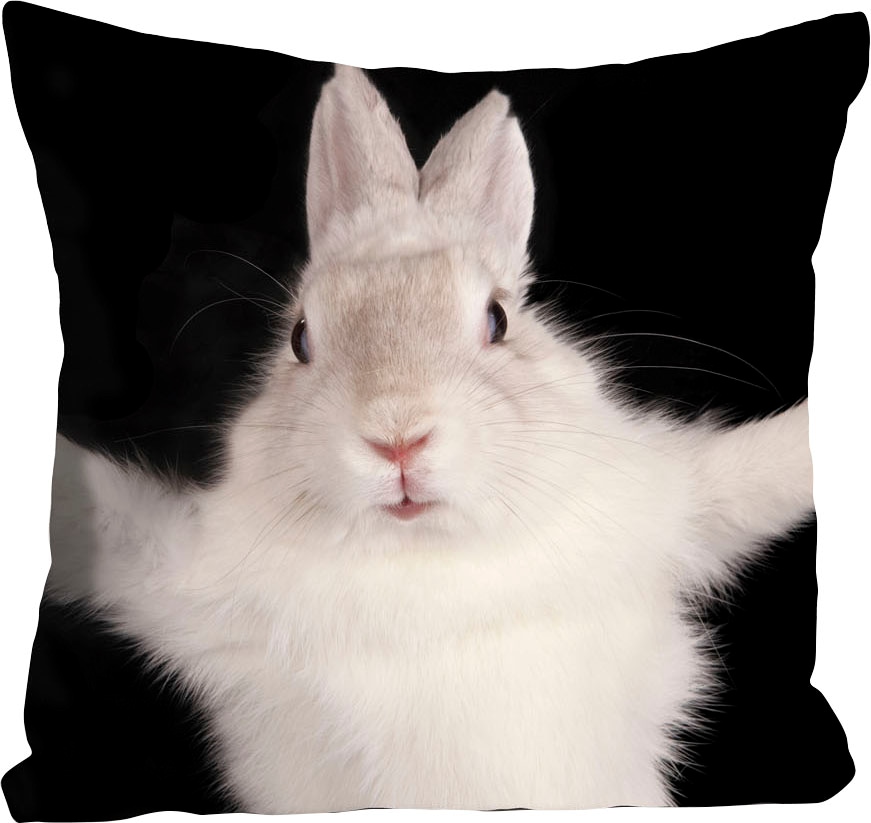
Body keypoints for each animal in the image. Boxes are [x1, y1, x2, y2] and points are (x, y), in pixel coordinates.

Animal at [47, 64, 814, 812]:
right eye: (300, 339)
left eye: (498, 319)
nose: (396, 437)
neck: (425, 557)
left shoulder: (677, 502)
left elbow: (760, 472)